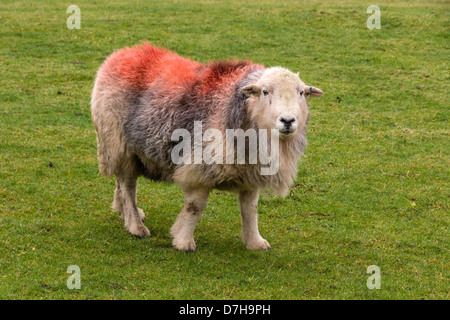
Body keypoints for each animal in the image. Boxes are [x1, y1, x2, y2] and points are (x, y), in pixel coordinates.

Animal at [92, 42, 324, 251]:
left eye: (301, 93)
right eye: (265, 92)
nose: (288, 121)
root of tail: (120, 54)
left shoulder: (250, 170)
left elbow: (250, 209)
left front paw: (255, 242)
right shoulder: (199, 167)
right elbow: (195, 207)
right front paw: (183, 241)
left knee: (121, 182)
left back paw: (123, 210)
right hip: (118, 143)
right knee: (128, 185)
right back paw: (135, 224)